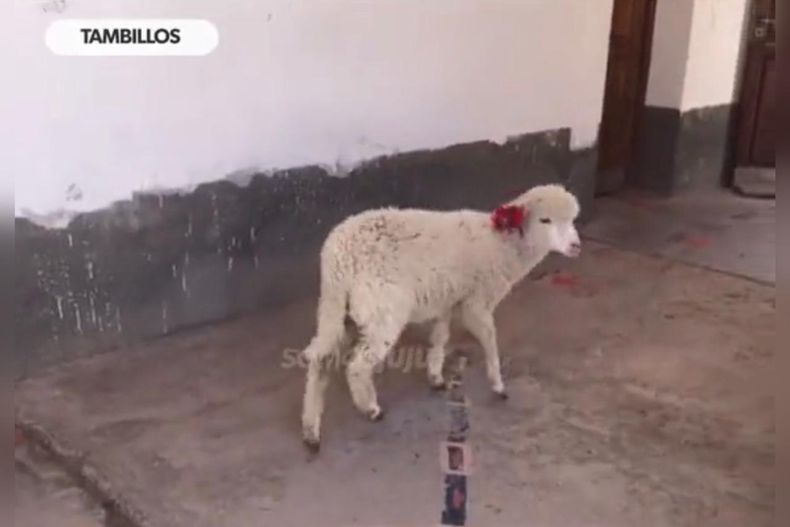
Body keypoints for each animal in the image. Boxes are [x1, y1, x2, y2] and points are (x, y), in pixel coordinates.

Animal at [301, 184, 581, 449]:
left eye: (572, 220)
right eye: (545, 220)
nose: (575, 246)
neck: (503, 245)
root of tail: (338, 257)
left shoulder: (447, 301)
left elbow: (440, 337)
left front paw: (435, 375)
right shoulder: (476, 302)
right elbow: (490, 341)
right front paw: (498, 384)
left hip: (336, 307)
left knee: (319, 360)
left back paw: (311, 429)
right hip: (382, 309)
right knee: (357, 366)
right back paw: (370, 408)